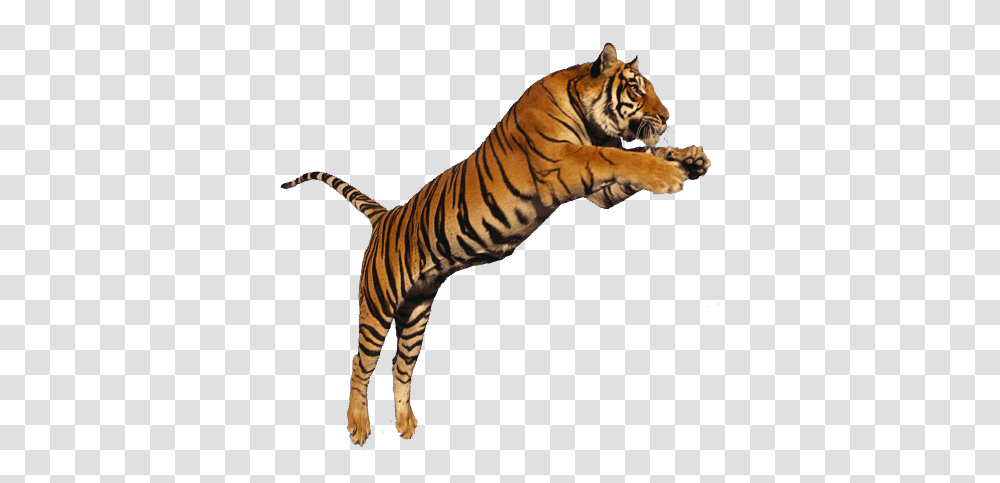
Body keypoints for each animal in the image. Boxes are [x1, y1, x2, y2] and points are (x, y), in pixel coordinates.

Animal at [281, 43, 711, 445]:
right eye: (637, 89)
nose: (667, 117)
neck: (586, 114)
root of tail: (385, 216)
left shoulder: (600, 192)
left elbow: (638, 153)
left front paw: (688, 157)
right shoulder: (565, 162)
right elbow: (620, 156)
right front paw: (667, 173)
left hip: (416, 312)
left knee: (400, 367)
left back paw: (405, 424)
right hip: (378, 304)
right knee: (360, 361)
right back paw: (358, 425)